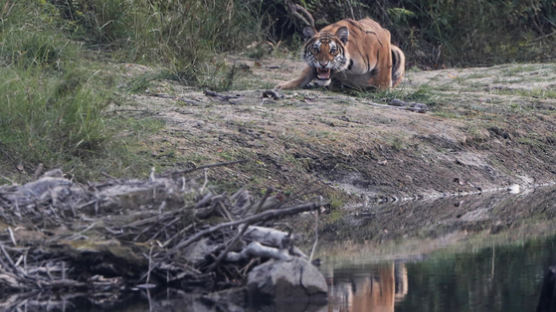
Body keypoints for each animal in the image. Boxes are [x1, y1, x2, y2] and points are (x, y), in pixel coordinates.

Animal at [276, 17, 404, 90]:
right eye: (316, 49)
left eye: (333, 51)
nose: (323, 64)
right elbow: (304, 75)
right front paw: (283, 86)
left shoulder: (383, 41)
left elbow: (383, 82)